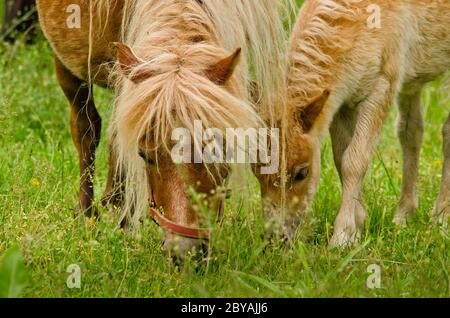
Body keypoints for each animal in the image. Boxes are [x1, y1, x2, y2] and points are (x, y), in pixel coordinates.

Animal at [255, 0, 450, 246]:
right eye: (255, 171)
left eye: (302, 172)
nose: (276, 238)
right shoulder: (341, 100)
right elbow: (341, 158)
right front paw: (358, 226)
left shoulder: (382, 85)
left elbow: (355, 160)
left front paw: (343, 236)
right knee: (411, 130)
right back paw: (404, 216)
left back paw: (441, 218)